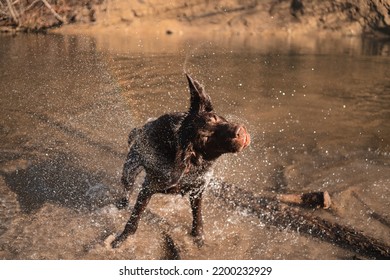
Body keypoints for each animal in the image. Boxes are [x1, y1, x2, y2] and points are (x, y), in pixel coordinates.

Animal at [110, 74, 250, 247]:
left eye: (215, 118)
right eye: (205, 138)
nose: (239, 132)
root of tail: (141, 128)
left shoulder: (197, 189)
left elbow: (197, 218)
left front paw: (198, 236)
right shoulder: (148, 187)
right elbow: (134, 219)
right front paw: (122, 238)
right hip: (130, 169)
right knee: (126, 189)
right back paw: (122, 203)